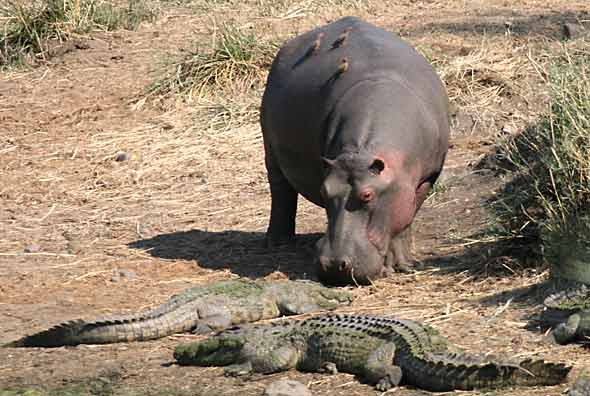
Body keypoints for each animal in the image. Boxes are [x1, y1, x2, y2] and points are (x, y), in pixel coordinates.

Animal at [262, 17, 450, 284]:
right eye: (324, 190)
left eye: (367, 195)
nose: (332, 265)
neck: (362, 153)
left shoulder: (426, 178)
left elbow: (404, 221)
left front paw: (403, 265)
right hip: (270, 149)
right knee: (280, 192)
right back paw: (278, 243)